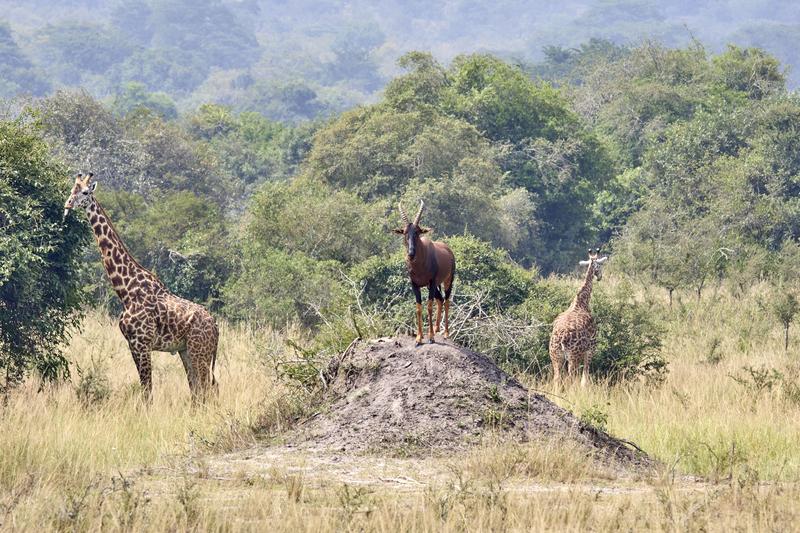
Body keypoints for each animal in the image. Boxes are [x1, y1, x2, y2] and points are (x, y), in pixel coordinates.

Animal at [63, 172, 219, 402]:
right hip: (187, 350)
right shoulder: (133, 345)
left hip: (200, 351)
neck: (126, 290)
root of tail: (216, 327)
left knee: (208, 388)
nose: (67, 204)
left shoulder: (142, 344)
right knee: (199, 390)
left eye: (84, 192)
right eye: (71, 189)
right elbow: (146, 390)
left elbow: (147, 392)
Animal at [394, 200, 456, 344]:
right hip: (431, 286)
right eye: (405, 232)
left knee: (446, 300)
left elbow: (428, 306)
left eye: (417, 232)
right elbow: (418, 307)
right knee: (440, 299)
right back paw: (437, 328)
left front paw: (431, 337)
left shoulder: (432, 282)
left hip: (447, 280)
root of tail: (448, 249)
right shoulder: (415, 285)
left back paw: (445, 333)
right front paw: (419, 337)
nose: (411, 254)